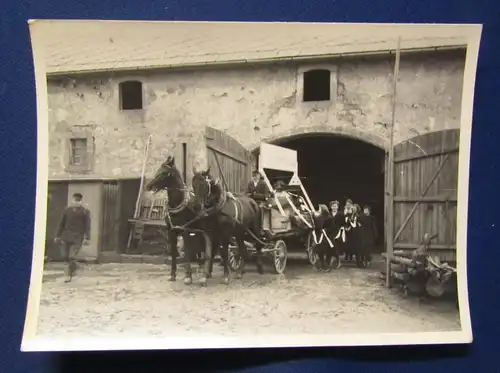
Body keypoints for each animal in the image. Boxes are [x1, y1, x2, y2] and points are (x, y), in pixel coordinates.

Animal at [145, 155, 211, 284]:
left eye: (165, 173)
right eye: (158, 170)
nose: (149, 186)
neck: (177, 203)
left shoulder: (185, 231)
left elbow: (187, 252)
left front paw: (188, 276)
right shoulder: (172, 231)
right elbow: (174, 253)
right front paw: (172, 274)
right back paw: (201, 266)